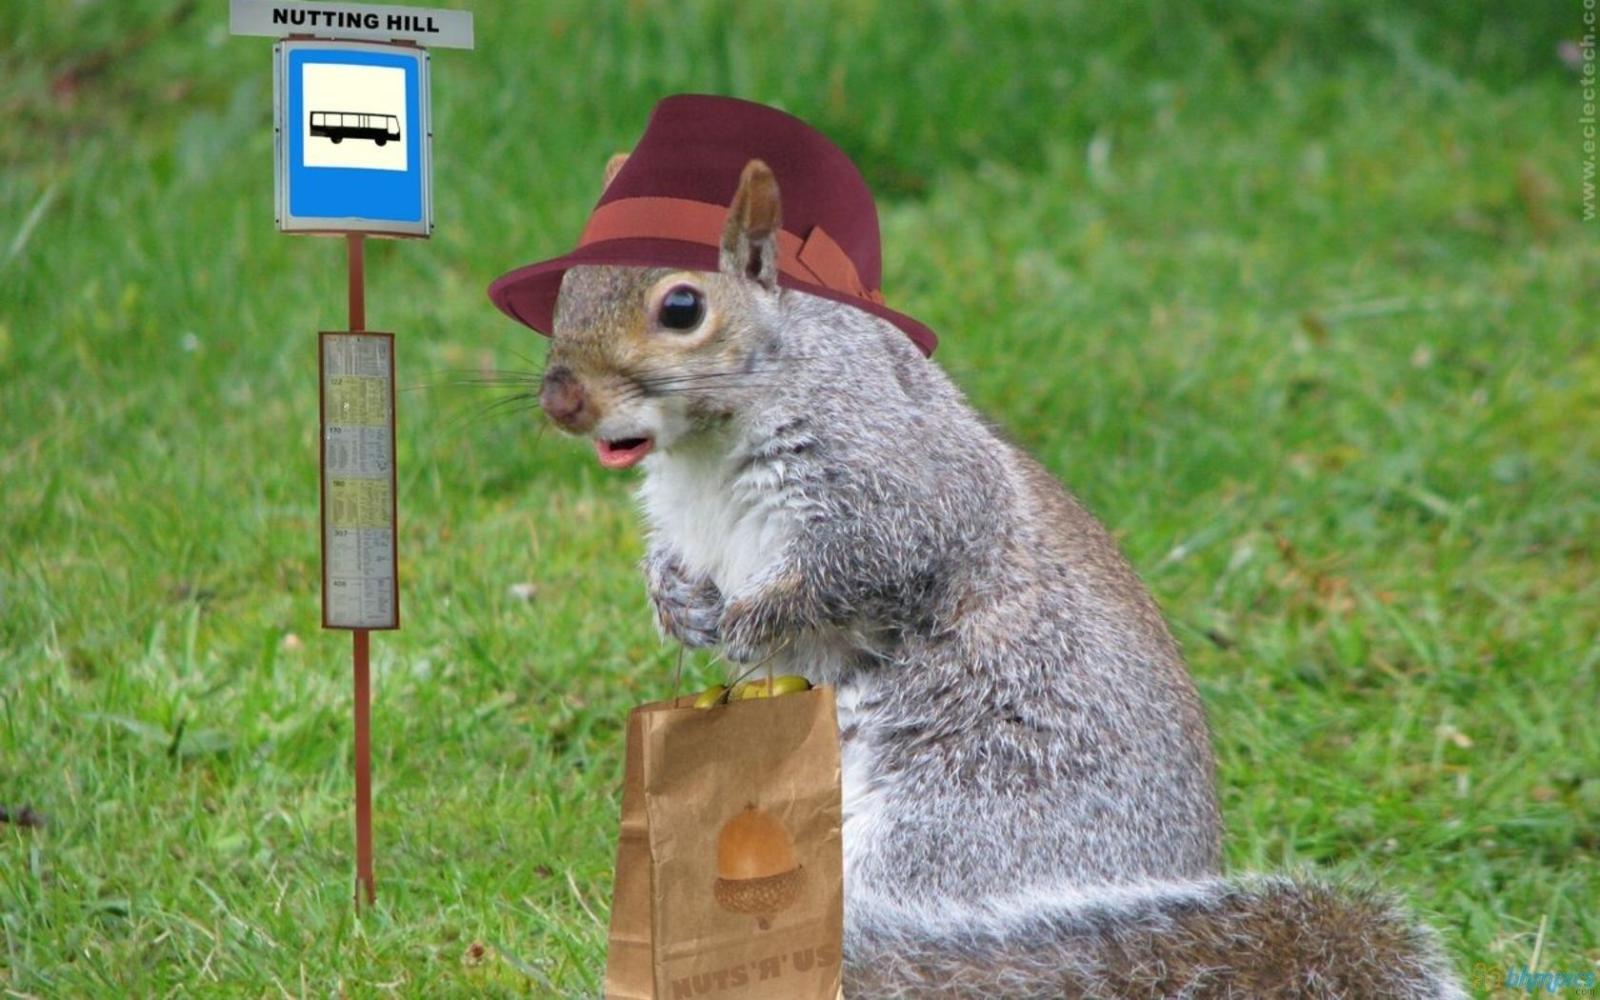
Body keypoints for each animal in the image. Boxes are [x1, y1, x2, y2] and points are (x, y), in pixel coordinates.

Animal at [536, 156, 1465, 998]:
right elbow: (675, 564)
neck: (704, 448)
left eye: (681, 308)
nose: (559, 400)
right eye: (565, 291)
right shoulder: (684, 517)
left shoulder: (894, 484)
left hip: (961, 821)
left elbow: (863, 566)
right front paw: (677, 602)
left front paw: (748, 621)